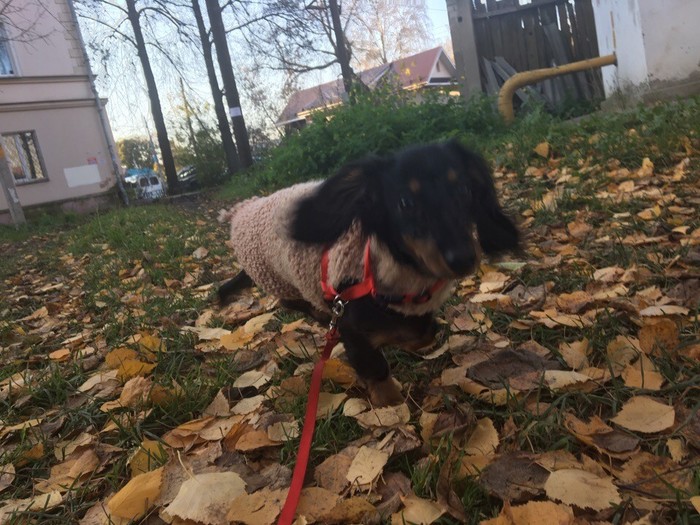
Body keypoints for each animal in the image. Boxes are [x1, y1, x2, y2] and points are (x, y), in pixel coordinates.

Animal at [219, 141, 519, 406]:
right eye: (405, 202)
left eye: (465, 188)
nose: (463, 259)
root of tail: (242, 210)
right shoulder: (350, 325)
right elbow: (376, 368)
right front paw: (392, 408)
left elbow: (423, 332)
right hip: (281, 281)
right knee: (289, 301)